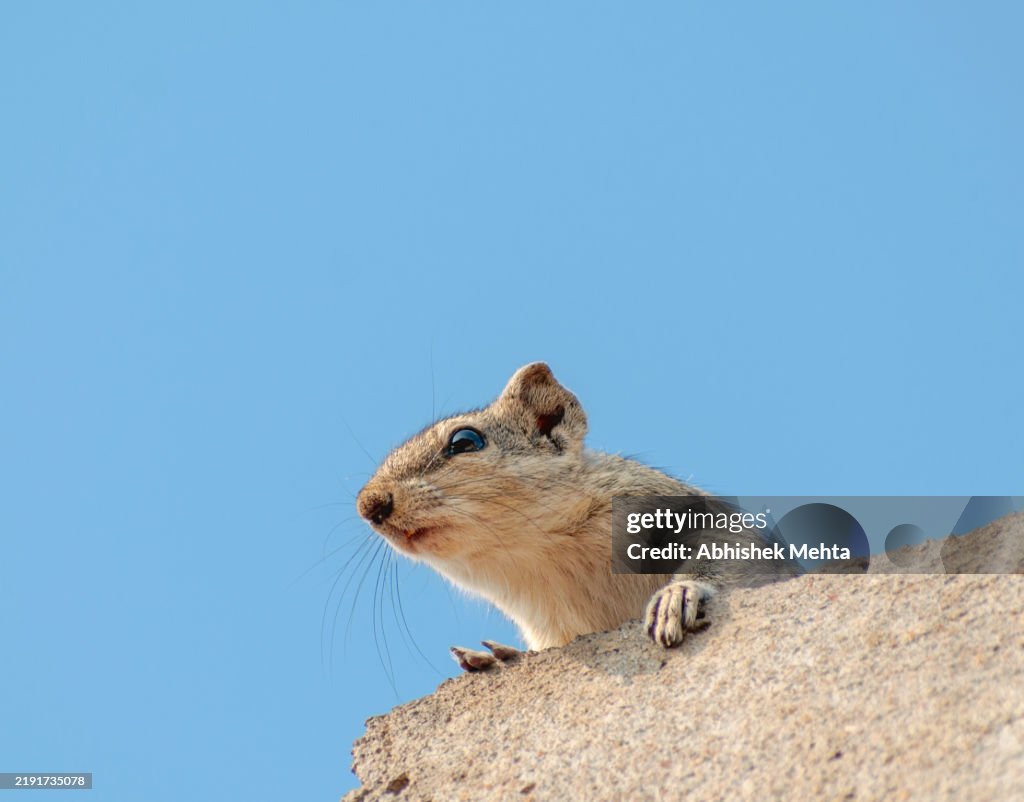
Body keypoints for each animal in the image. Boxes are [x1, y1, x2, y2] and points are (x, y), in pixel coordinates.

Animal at [356, 362, 796, 670]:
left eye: (466, 441)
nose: (369, 505)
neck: (541, 556)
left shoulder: (681, 510)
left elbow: (730, 553)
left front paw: (678, 595)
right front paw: (499, 657)